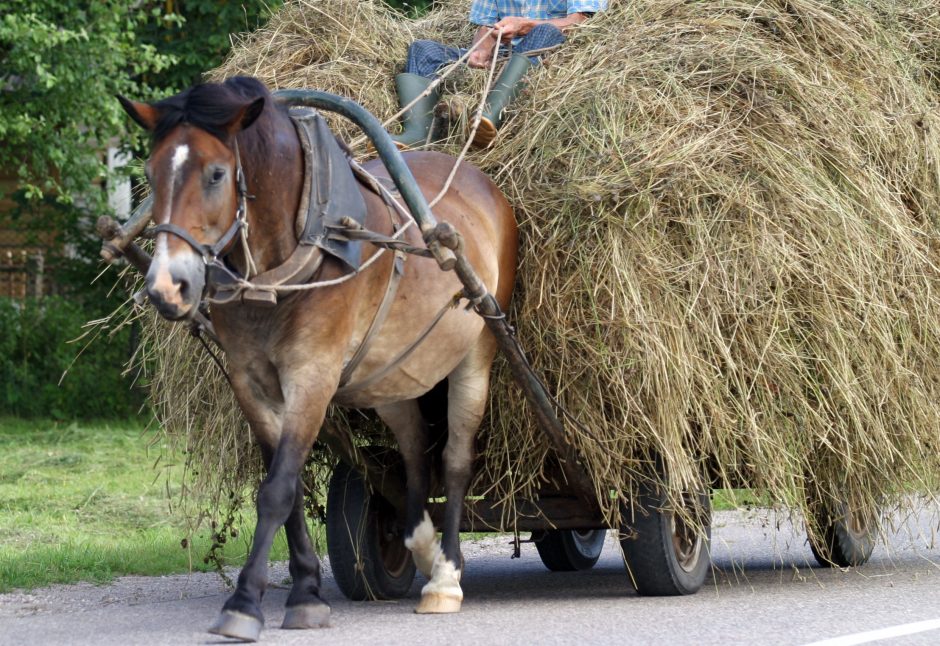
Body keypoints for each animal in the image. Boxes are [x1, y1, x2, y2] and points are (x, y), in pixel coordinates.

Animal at [117, 77, 516, 644]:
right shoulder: (251, 383)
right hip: (392, 372)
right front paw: (306, 591)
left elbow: (277, 489)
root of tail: (480, 180)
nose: (166, 288)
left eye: (216, 174)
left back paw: (445, 576)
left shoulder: (312, 377)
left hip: (477, 351)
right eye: (151, 175)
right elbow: (285, 487)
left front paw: (244, 603)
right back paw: (418, 542)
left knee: (456, 461)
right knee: (415, 449)